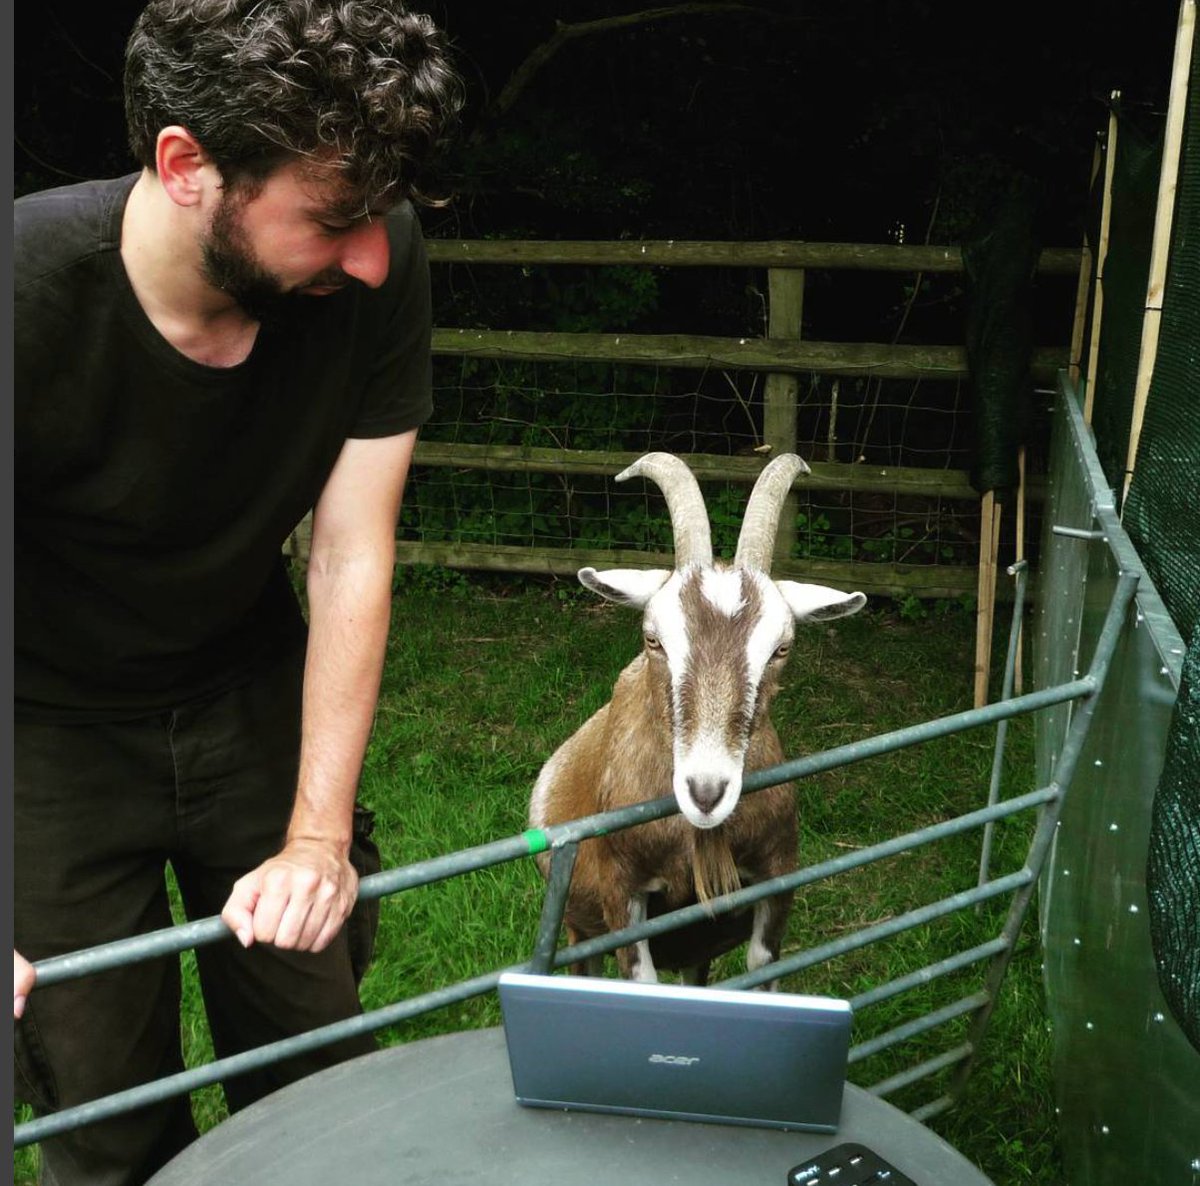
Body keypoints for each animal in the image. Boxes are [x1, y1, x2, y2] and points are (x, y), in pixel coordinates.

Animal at [529, 452, 866, 984]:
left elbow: (761, 965)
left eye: (782, 649)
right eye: (652, 639)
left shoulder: (777, 875)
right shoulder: (622, 892)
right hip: (580, 932)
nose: (706, 793)